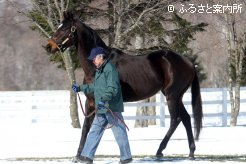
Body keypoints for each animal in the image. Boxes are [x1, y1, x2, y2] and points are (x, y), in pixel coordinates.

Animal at [45, 11, 202, 159]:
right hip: (177, 97)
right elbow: (85, 128)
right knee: (186, 118)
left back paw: (159, 151)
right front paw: (78, 155)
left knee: (176, 120)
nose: (48, 46)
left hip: (172, 97)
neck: (97, 66)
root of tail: (189, 63)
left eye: (65, 28)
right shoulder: (90, 101)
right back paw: (191, 152)